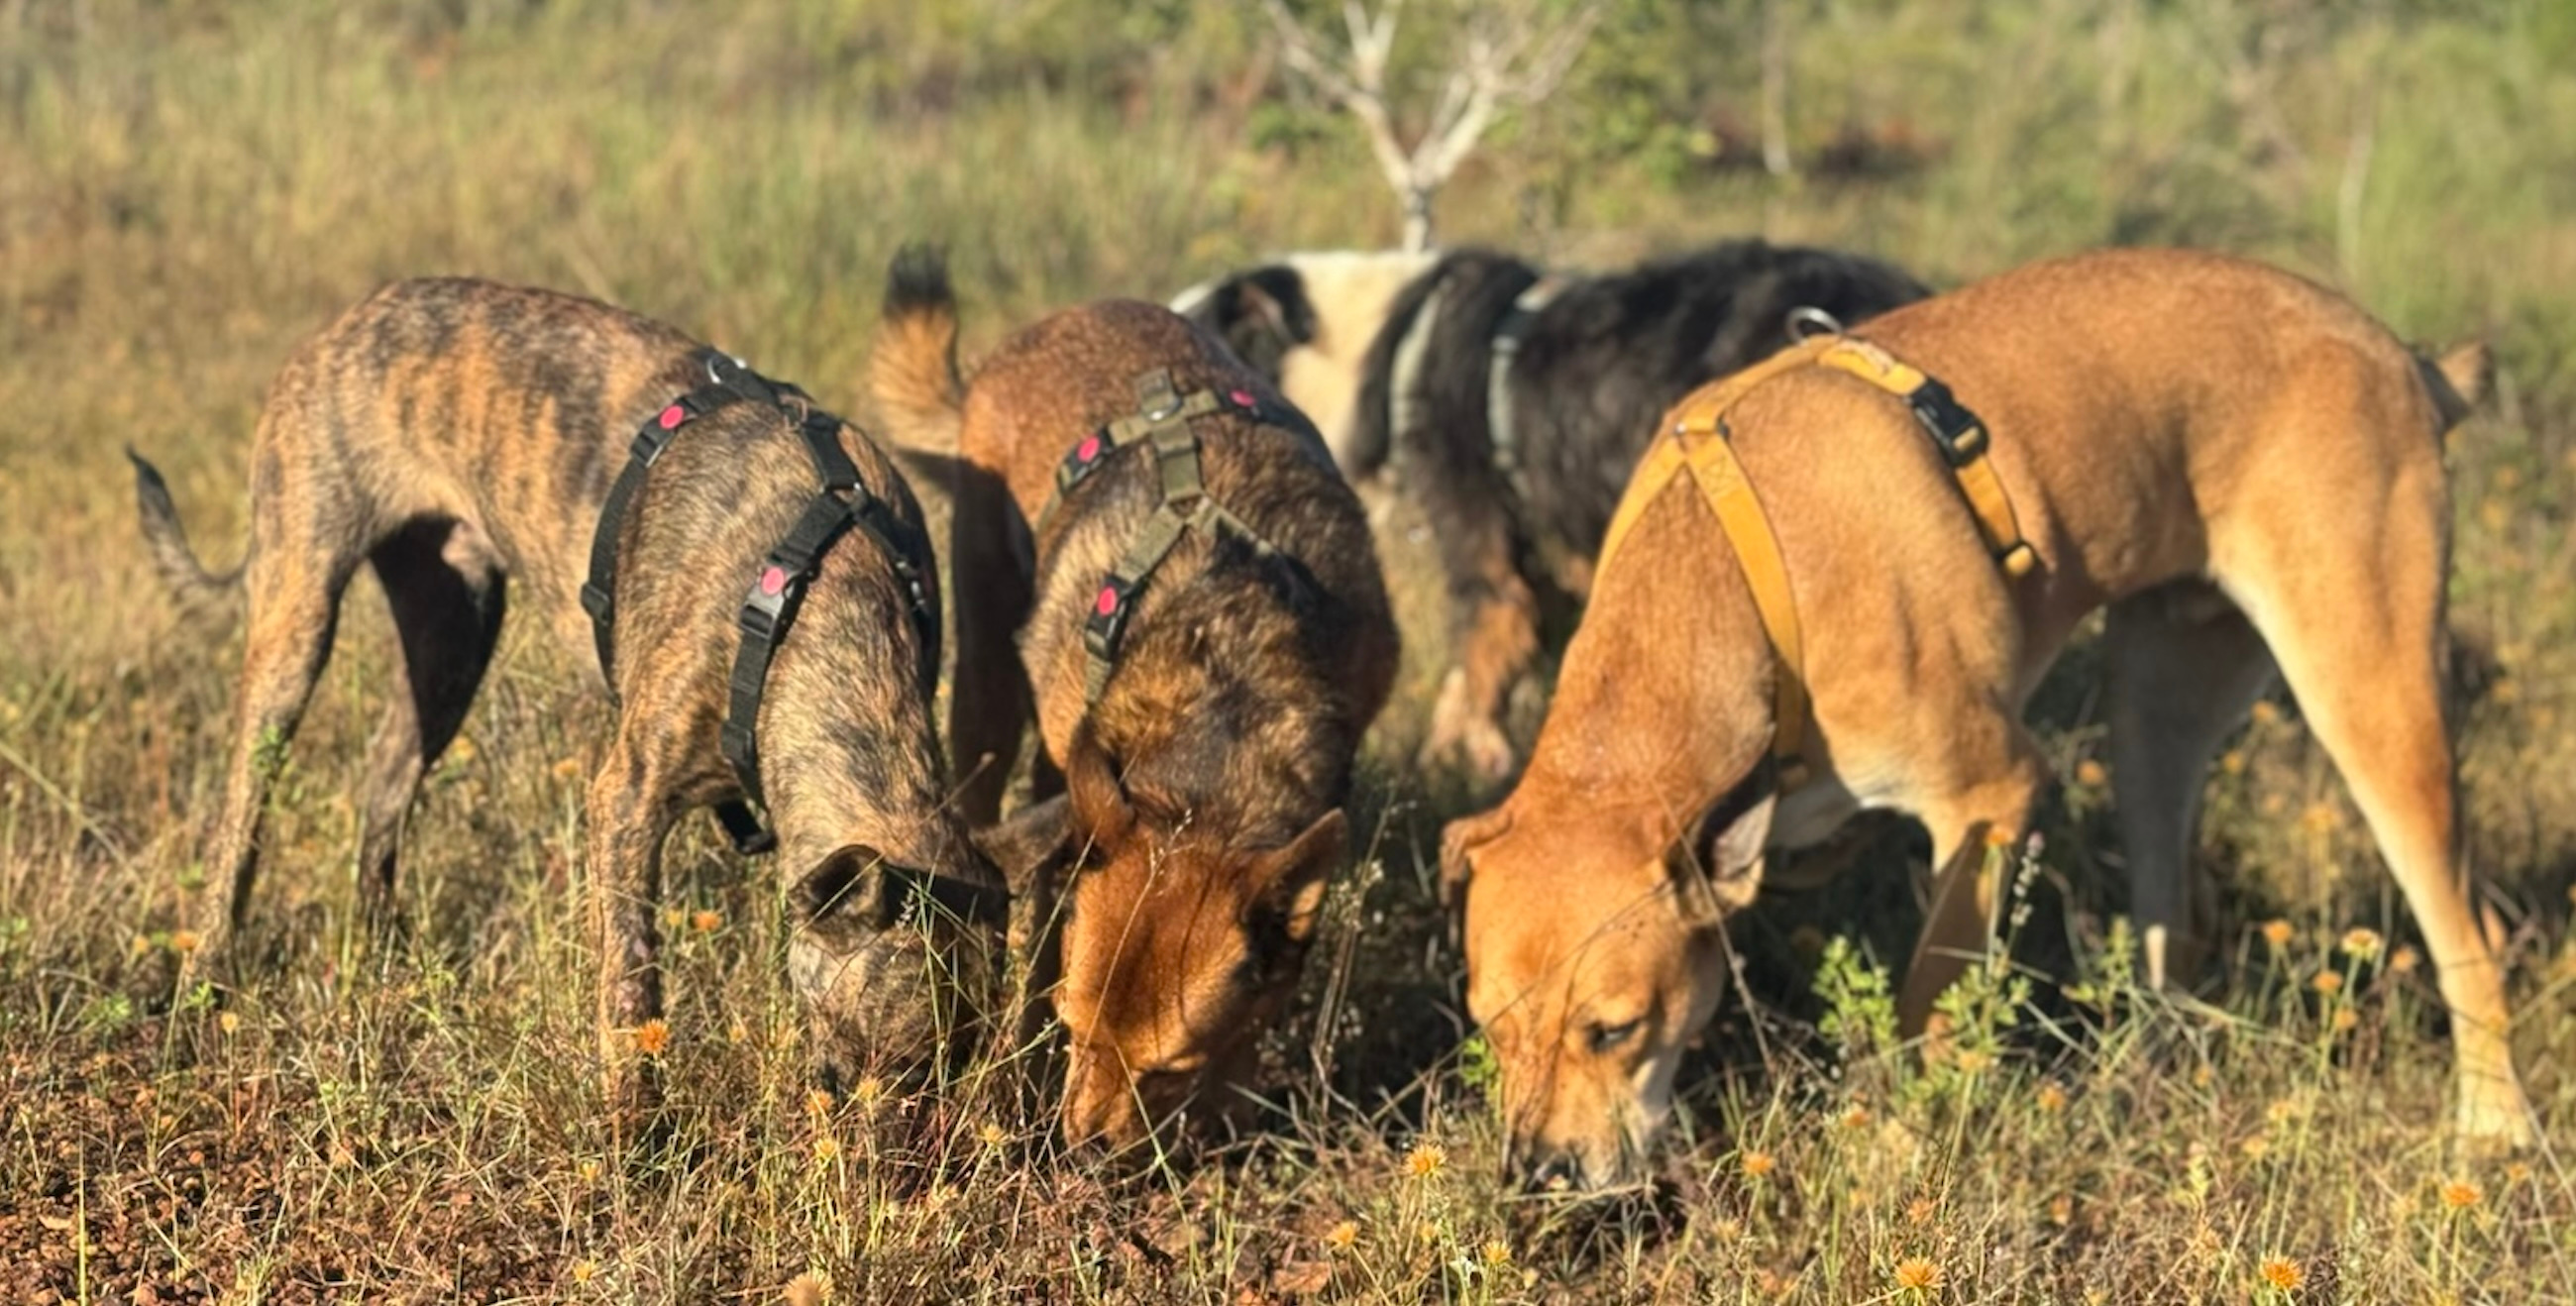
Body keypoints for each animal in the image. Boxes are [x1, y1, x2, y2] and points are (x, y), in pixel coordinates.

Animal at [130, 277, 1005, 1125]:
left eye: (957, 1065)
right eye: (893, 1058)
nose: (918, 1162)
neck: (816, 596)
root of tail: (342, 324)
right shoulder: (626, 801)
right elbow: (631, 984)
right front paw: (635, 1135)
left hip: (452, 639)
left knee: (386, 781)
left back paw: (382, 949)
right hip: (298, 612)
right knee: (243, 814)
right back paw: (205, 982)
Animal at [1438, 247, 2534, 1191]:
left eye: (1614, 1028)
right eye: (1489, 1027)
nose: (1535, 1174)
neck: (1744, 580)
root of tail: (2398, 354)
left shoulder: (1989, 795)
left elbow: (1928, 989)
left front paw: (1893, 1144)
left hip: (2365, 692)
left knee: (2466, 928)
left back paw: (2495, 1130)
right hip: (2156, 708)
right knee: (2170, 923)